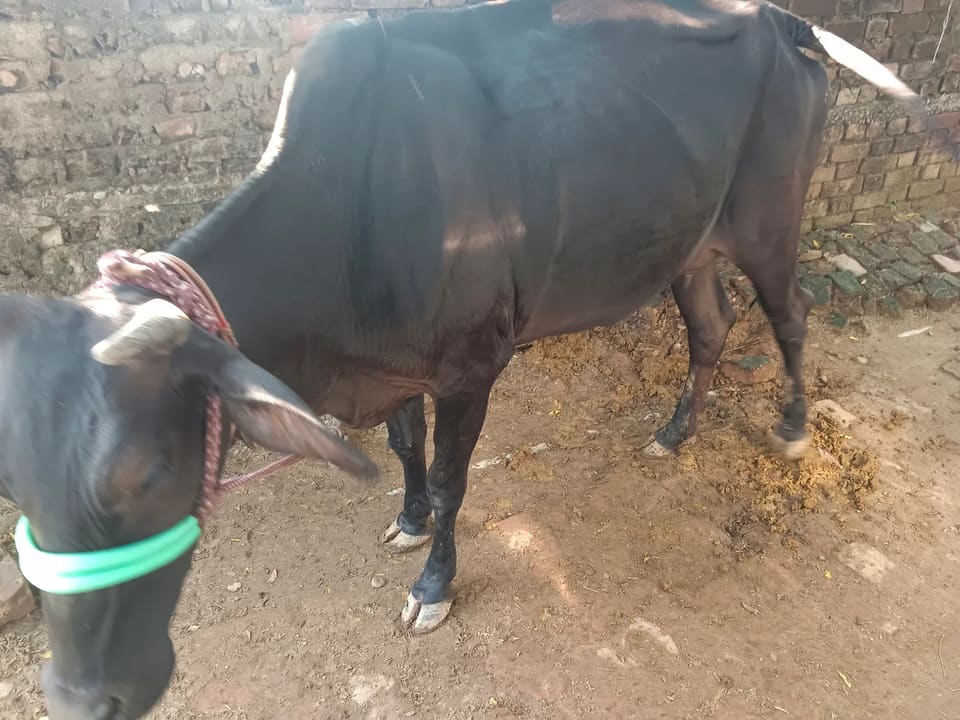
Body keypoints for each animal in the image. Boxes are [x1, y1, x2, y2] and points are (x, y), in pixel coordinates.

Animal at [0, 0, 932, 717]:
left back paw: (793, 427)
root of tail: (778, 20)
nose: (80, 696)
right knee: (712, 323)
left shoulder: (471, 366)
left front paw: (433, 587)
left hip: (773, 221)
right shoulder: (399, 367)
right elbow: (407, 449)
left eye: (148, 474)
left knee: (791, 315)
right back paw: (674, 431)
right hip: (692, 242)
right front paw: (407, 522)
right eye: (17, 481)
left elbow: (453, 480)